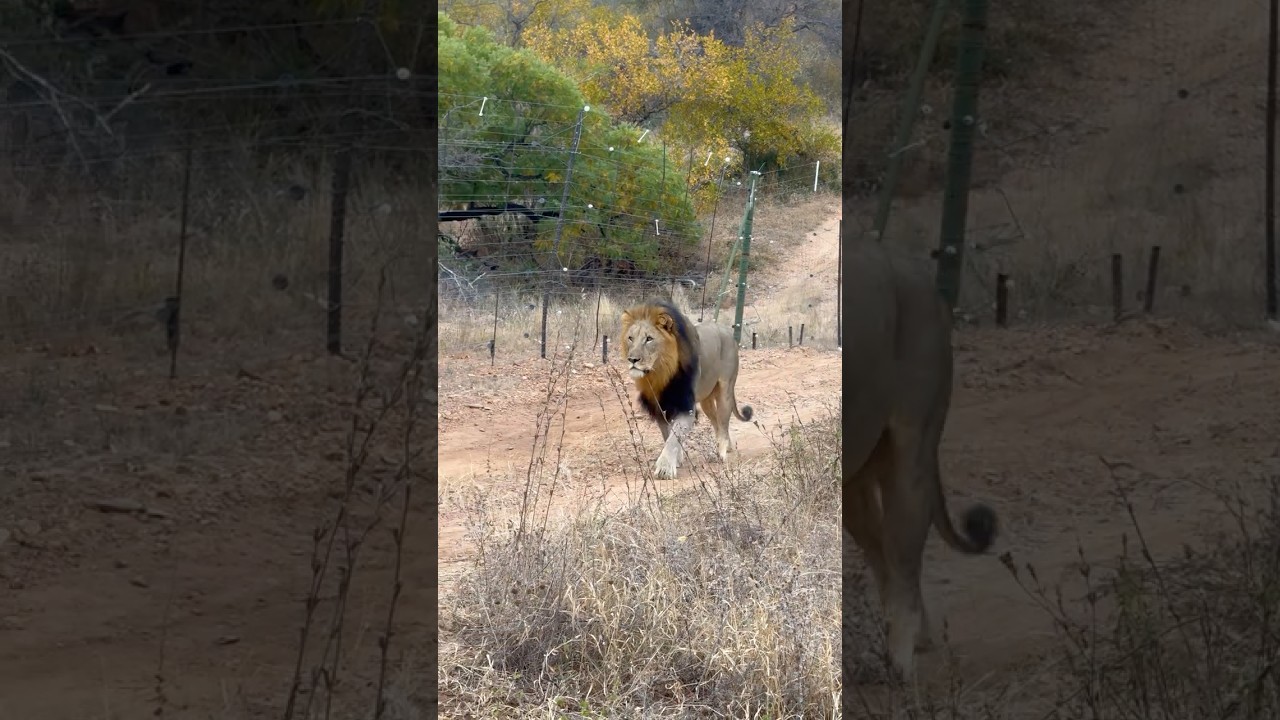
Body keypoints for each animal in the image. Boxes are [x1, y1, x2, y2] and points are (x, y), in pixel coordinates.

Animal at [620, 300, 754, 479]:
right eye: (630, 338)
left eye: (649, 339)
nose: (632, 359)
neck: (660, 374)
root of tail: (728, 331)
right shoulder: (661, 408)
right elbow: (668, 436)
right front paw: (677, 459)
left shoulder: (686, 408)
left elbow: (673, 437)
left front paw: (665, 468)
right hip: (706, 401)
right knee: (717, 422)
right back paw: (728, 447)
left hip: (725, 390)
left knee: (723, 422)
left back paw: (722, 452)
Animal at [842, 238, 999, 682]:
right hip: (857, 472)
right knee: (881, 549)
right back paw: (916, 637)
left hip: (913, 447)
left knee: (902, 549)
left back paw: (902, 657)